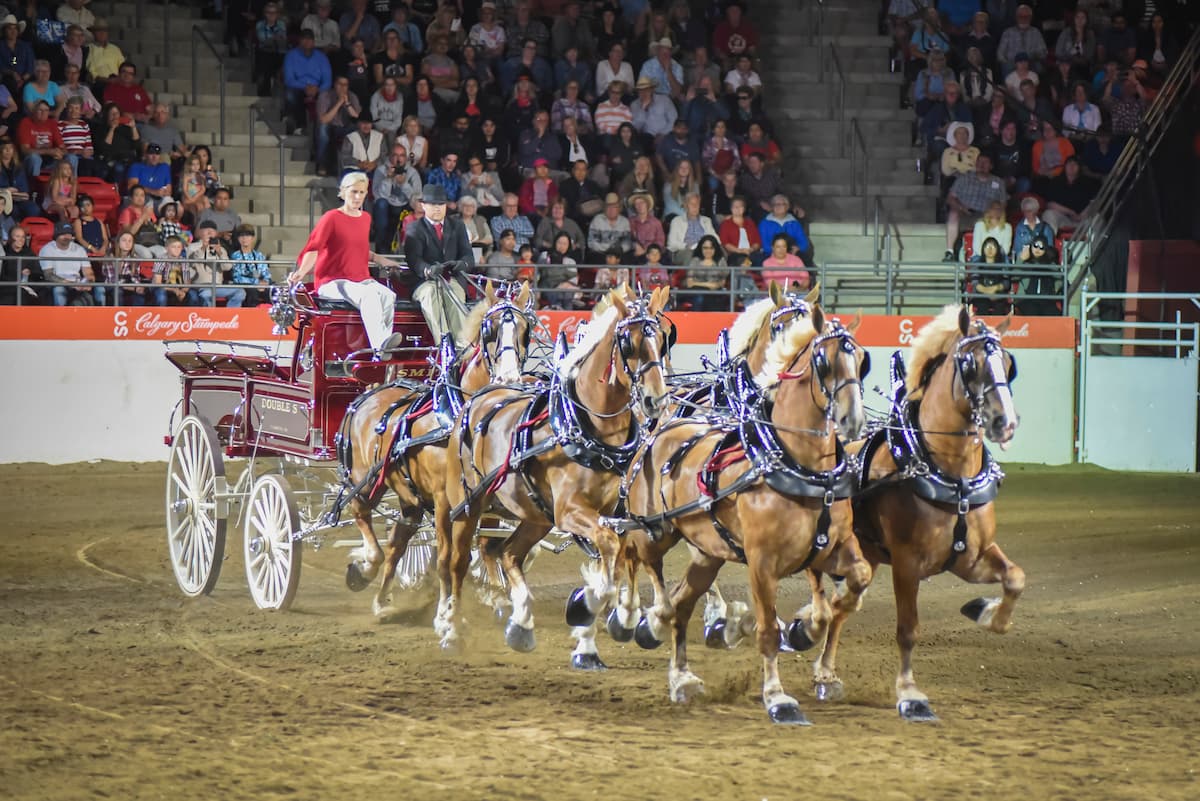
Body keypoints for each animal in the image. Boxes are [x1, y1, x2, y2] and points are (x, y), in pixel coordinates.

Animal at [331, 282, 532, 618]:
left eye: (526, 330)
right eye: (489, 329)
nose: (509, 378)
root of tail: (369, 395)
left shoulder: (485, 496)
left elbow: (487, 545)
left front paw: (497, 596)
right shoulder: (442, 501)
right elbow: (447, 558)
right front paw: (446, 608)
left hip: (407, 493)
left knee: (397, 542)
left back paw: (381, 600)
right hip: (366, 480)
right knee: (361, 513)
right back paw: (365, 568)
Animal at [436, 282, 676, 661]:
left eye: (663, 339)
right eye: (628, 343)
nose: (656, 400)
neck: (589, 431)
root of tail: (480, 396)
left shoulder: (615, 512)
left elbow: (624, 552)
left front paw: (624, 615)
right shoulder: (570, 511)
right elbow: (608, 545)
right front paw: (593, 599)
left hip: (536, 515)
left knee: (509, 553)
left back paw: (520, 622)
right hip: (467, 505)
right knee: (456, 561)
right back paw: (451, 628)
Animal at [614, 303, 878, 724]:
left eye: (862, 360)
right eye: (823, 361)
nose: (853, 421)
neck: (798, 466)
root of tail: (657, 432)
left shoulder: (831, 548)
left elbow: (848, 592)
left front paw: (812, 642)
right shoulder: (762, 563)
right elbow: (768, 629)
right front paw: (777, 697)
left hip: (706, 555)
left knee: (682, 603)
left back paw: (682, 678)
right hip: (653, 531)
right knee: (643, 566)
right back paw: (643, 620)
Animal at [825, 303, 1022, 724]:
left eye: (1009, 363)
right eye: (970, 364)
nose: (1006, 423)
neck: (951, 475)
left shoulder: (971, 557)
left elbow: (1015, 578)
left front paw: (986, 613)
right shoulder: (907, 563)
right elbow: (908, 628)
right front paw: (909, 693)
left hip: (865, 557)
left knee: (841, 608)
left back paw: (825, 673)